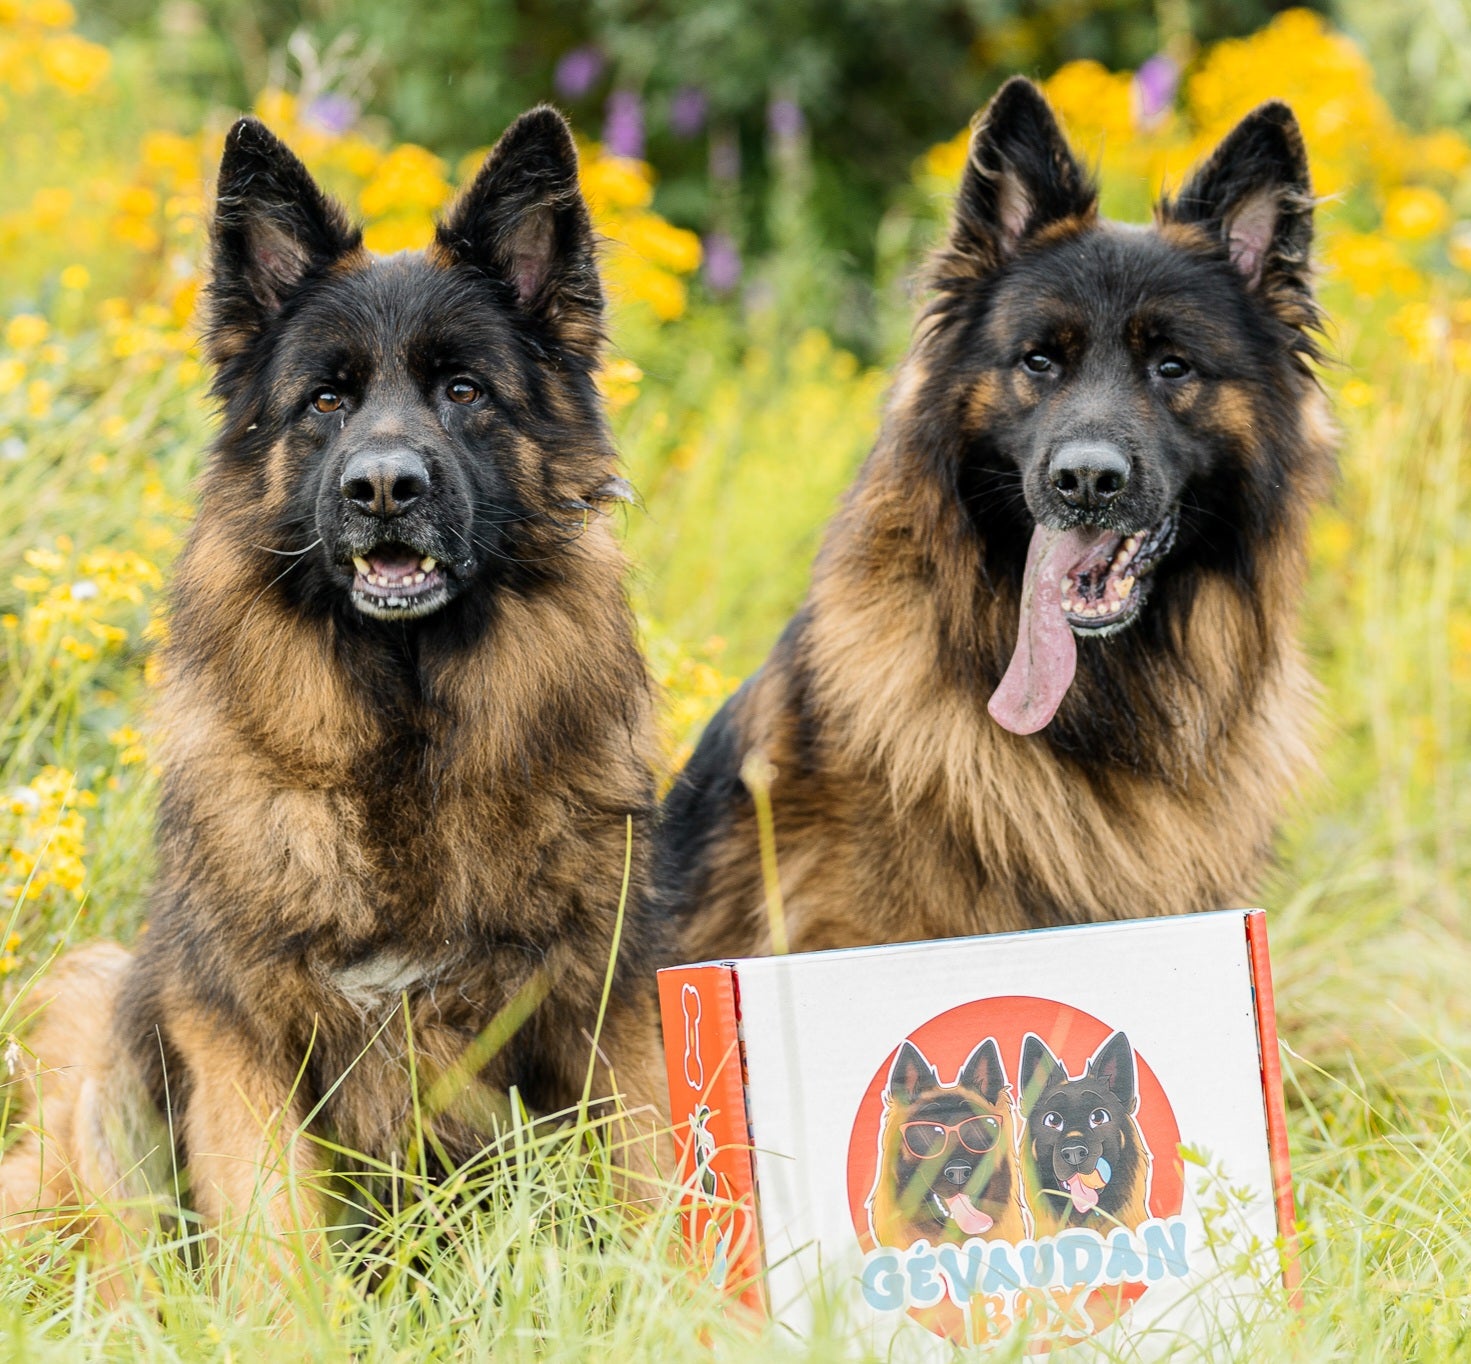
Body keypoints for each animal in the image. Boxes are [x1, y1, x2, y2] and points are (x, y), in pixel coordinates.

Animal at [0, 111, 667, 1277]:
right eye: (326, 398)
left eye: (463, 390)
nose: (384, 486)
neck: (402, 735)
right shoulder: (243, 1044)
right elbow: (279, 1250)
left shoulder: (601, 1013)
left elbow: (654, 1189)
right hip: (102, 1041)